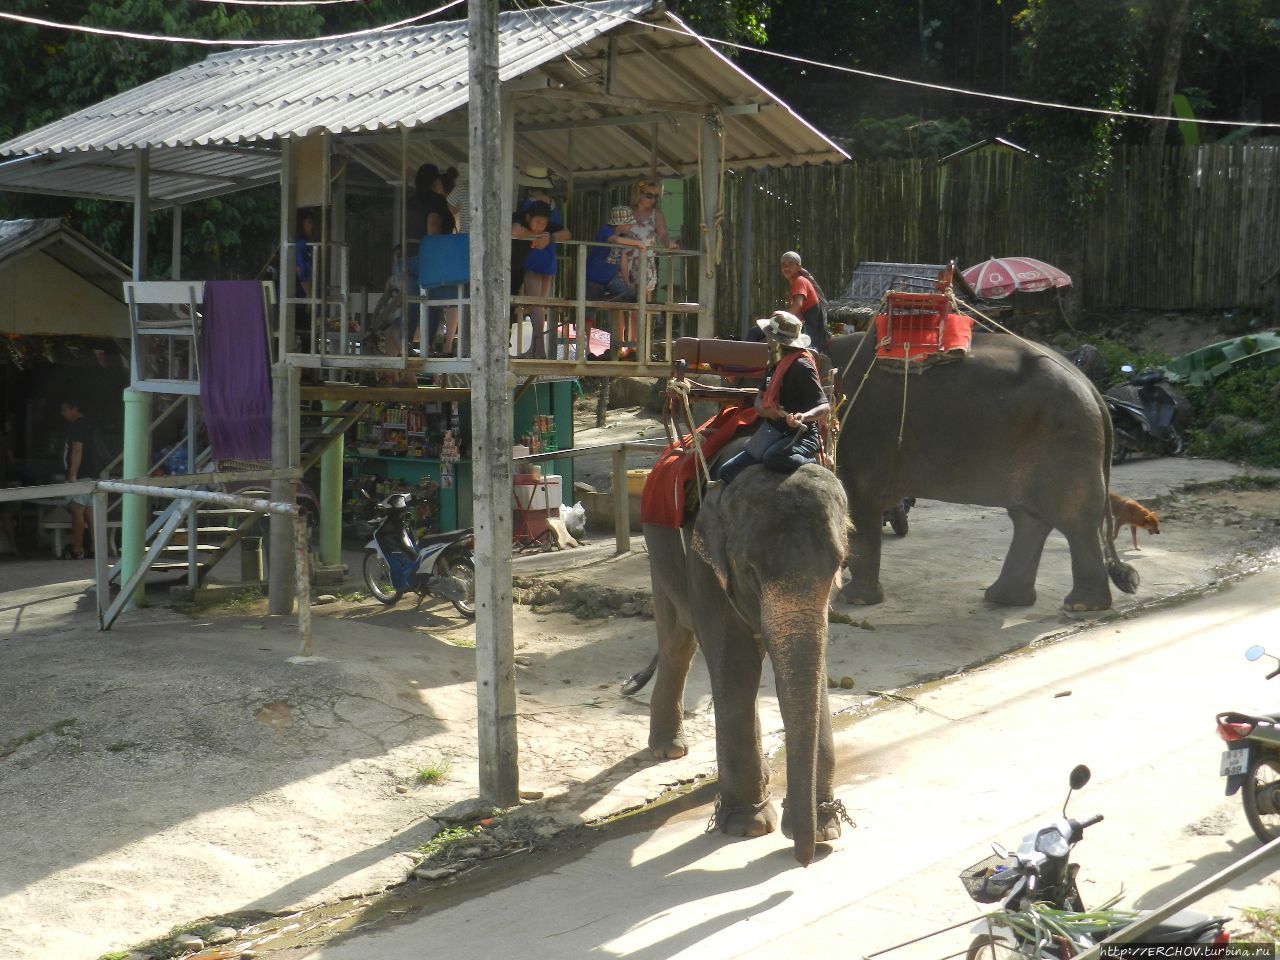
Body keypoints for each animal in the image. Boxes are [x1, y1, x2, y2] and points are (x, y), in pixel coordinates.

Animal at [637, 460, 849, 870]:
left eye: (839, 565)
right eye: (750, 571)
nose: (803, 861)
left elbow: (812, 671)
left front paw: (824, 829)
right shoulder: (703, 563)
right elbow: (734, 661)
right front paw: (747, 826)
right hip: (658, 546)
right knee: (678, 640)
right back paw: (668, 751)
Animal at [824, 335, 1136, 611]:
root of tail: (1090, 386)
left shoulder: (861, 440)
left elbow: (858, 503)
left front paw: (851, 600)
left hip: (1067, 442)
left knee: (1073, 519)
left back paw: (1081, 605)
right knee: (1030, 518)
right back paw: (1006, 598)